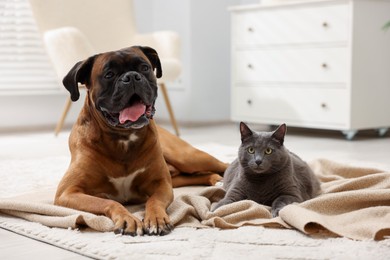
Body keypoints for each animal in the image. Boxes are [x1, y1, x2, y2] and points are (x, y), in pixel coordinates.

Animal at [56, 45, 227, 237]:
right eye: (109, 74)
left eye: (144, 68)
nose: (131, 77)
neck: (123, 137)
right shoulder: (68, 193)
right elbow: (109, 202)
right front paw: (127, 219)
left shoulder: (162, 184)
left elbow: (154, 201)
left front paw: (156, 219)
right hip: (178, 175)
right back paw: (217, 180)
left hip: (187, 158)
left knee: (223, 165)